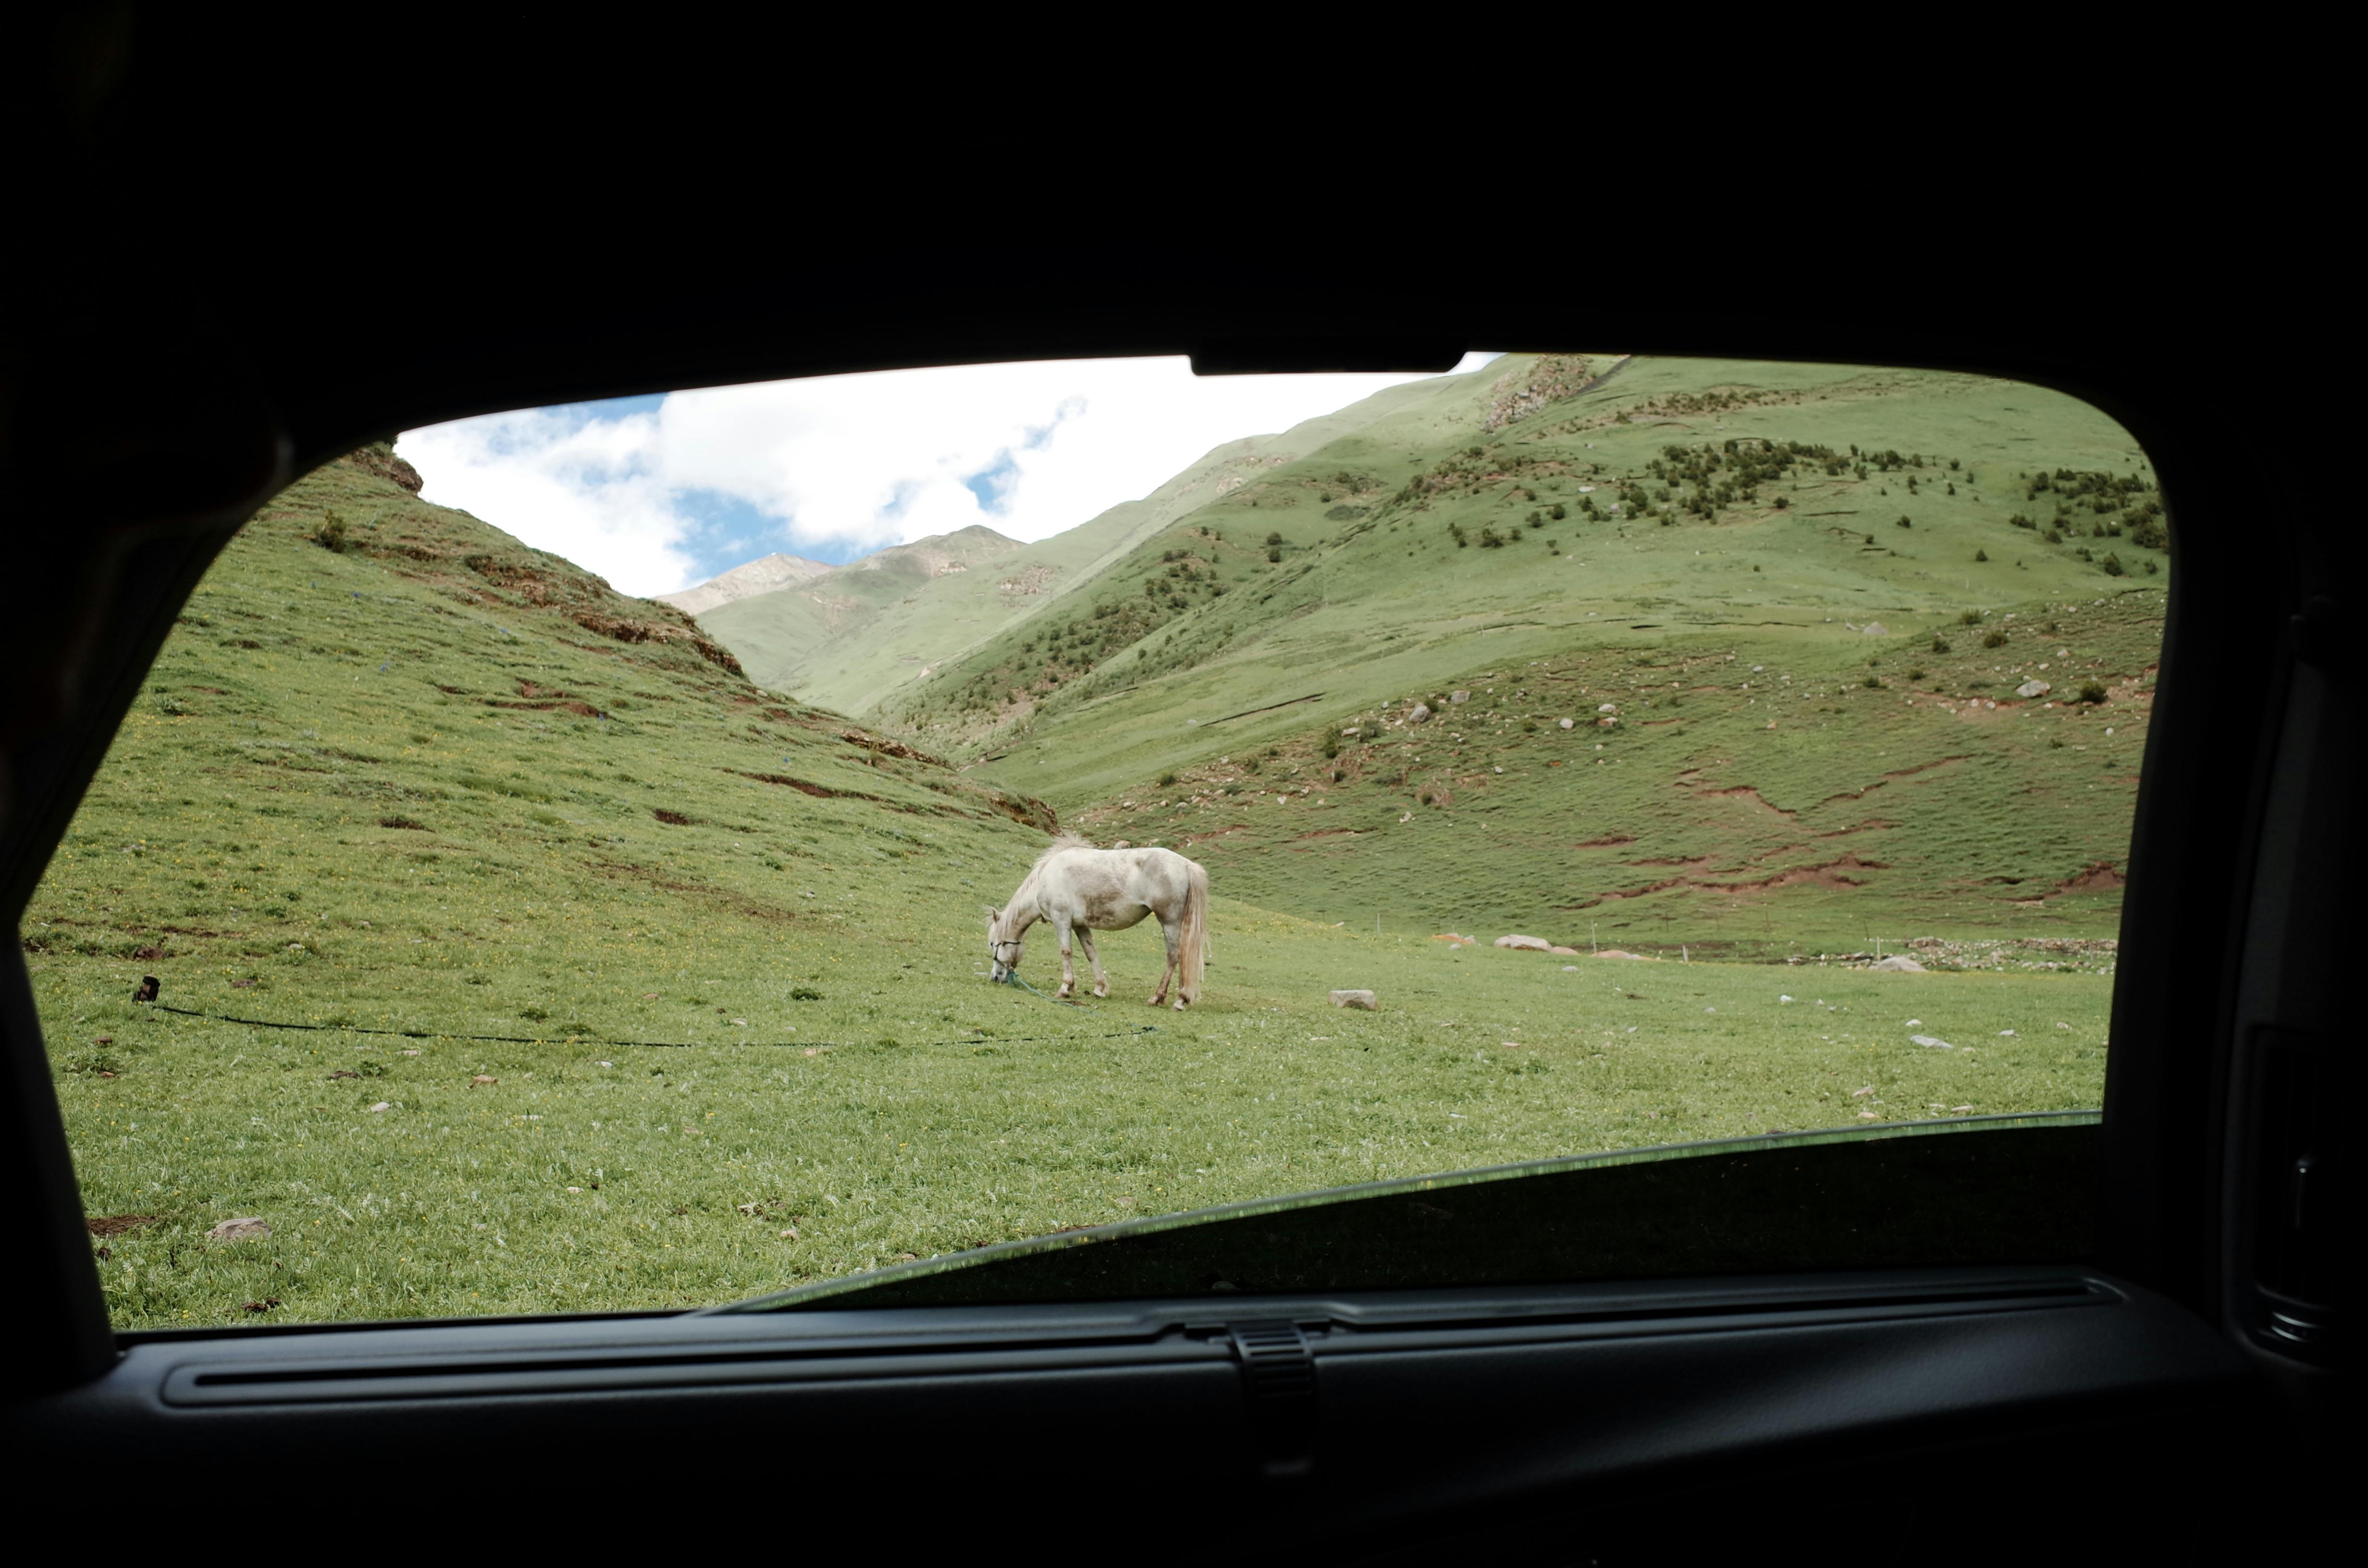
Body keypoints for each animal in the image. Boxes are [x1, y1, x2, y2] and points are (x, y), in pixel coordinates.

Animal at [986, 833, 1208, 1008]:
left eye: (992, 944)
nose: (995, 978)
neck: (1045, 879)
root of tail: (1187, 865)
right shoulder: (1080, 925)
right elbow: (1091, 953)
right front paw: (1100, 989)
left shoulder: (1062, 919)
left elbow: (1066, 952)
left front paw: (1065, 989)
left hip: (1170, 923)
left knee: (1174, 957)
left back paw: (1168, 999)